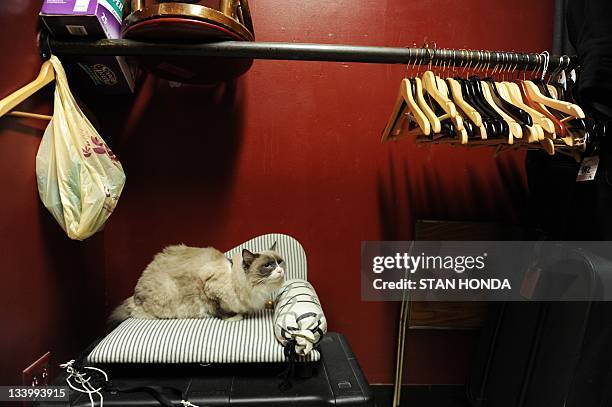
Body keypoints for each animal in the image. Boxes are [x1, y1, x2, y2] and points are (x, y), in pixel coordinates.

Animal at [109, 242, 286, 328]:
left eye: (279, 262)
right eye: (268, 265)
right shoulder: (209, 289)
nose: (280, 271)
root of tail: (134, 297)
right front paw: (233, 317)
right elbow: (220, 310)